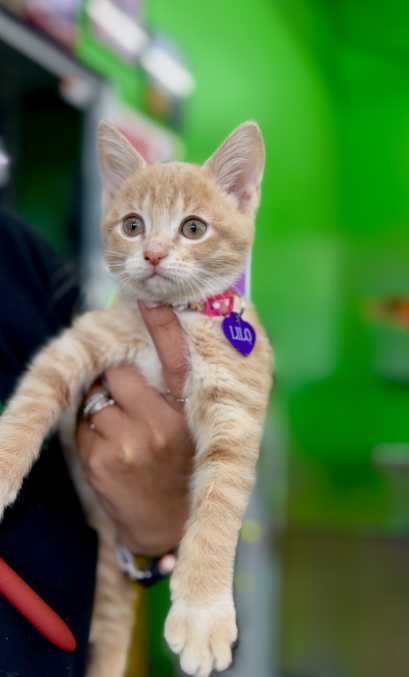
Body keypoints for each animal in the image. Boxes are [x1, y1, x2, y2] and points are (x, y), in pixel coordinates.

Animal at [0, 120, 273, 677]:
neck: (174, 318)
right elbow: (32, 401)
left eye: (193, 228)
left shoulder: (237, 401)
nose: (153, 254)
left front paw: (202, 611)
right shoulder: (74, 346)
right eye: (132, 225)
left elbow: (220, 503)